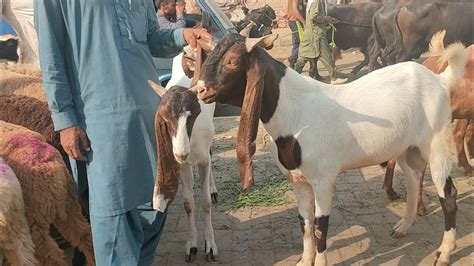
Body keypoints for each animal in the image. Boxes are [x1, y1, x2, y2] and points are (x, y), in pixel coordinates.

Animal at [192, 33, 466, 266]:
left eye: (231, 61)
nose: (200, 90)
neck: (295, 111)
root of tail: (440, 80)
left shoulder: (323, 179)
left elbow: (320, 225)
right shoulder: (299, 180)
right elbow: (304, 221)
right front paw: (305, 260)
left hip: (437, 142)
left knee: (448, 194)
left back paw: (443, 253)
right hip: (407, 149)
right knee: (413, 180)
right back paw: (403, 227)